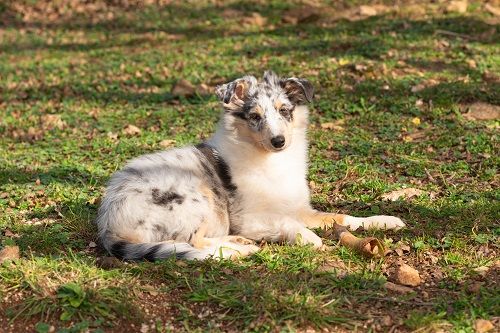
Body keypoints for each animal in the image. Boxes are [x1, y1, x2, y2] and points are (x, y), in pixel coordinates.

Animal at [95, 71, 404, 260]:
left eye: (284, 111)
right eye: (254, 116)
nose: (279, 141)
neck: (272, 161)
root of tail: (110, 222)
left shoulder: (298, 207)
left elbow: (341, 217)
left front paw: (383, 221)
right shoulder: (249, 219)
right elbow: (287, 223)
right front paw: (308, 238)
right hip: (196, 199)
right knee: (194, 243)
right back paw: (238, 251)